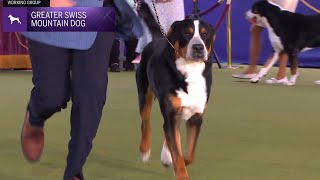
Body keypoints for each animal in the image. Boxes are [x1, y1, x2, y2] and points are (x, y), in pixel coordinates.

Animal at [135, 2, 215, 180]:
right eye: (187, 33)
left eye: (205, 34)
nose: (198, 47)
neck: (190, 71)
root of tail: (158, 38)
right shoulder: (171, 112)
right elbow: (177, 155)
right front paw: (180, 172)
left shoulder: (196, 117)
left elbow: (188, 155)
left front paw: (173, 160)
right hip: (145, 93)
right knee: (145, 121)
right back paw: (144, 149)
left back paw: (166, 155)